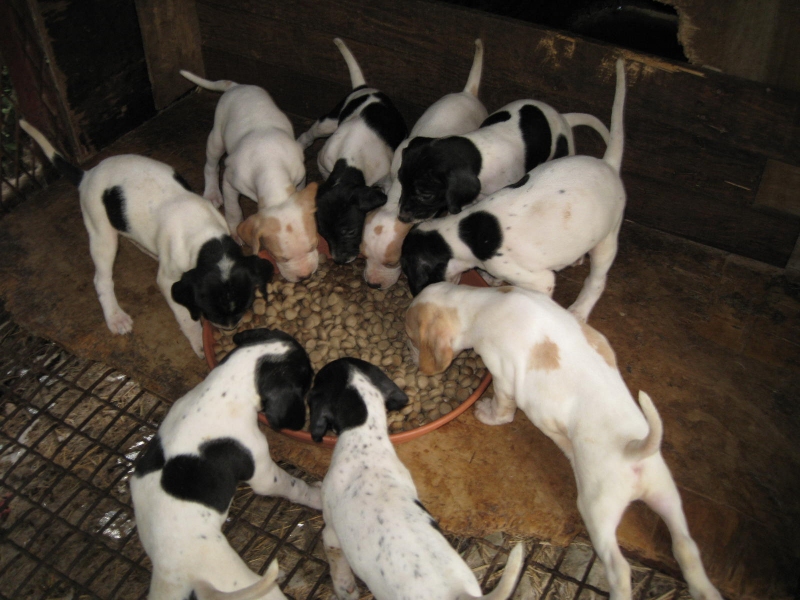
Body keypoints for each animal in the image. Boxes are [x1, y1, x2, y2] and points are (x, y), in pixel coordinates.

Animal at [19, 120, 274, 358]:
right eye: (210, 312)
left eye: (243, 307)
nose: (230, 329)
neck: (207, 239)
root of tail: (87, 175)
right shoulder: (169, 280)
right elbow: (186, 317)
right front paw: (198, 340)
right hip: (101, 233)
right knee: (102, 279)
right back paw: (115, 316)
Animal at [130, 328, 322, 599]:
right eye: (308, 374)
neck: (221, 389)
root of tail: (173, 574)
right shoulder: (264, 474)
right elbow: (295, 486)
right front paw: (317, 496)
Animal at [181, 70, 319, 282]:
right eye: (281, 258)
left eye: (313, 245)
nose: (305, 276)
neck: (272, 168)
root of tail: (237, 86)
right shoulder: (230, 182)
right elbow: (233, 208)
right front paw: (235, 229)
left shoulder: (300, 176)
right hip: (216, 139)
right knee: (211, 165)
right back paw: (212, 192)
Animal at [296, 38, 408, 265]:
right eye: (324, 234)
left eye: (350, 231)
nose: (340, 260)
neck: (350, 159)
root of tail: (365, 88)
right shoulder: (324, 165)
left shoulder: (385, 179)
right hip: (328, 123)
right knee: (309, 134)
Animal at [405, 282, 723, 600]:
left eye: (410, 338)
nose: (411, 358)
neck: (482, 303)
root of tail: (634, 450)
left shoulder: (503, 379)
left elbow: (502, 411)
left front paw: (486, 413)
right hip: (666, 495)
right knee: (686, 547)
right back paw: (705, 591)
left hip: (597, 512)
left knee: (620, 569)